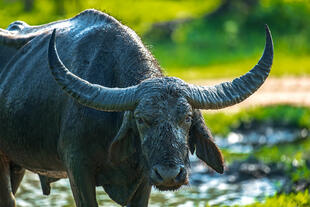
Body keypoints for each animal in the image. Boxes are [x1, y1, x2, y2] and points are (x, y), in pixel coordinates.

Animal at [0, 9, 272, 207]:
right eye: (141, 120)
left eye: (186, 118)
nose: (169, 174)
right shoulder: (77, 169)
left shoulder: (144, 178)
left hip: (16, 165)